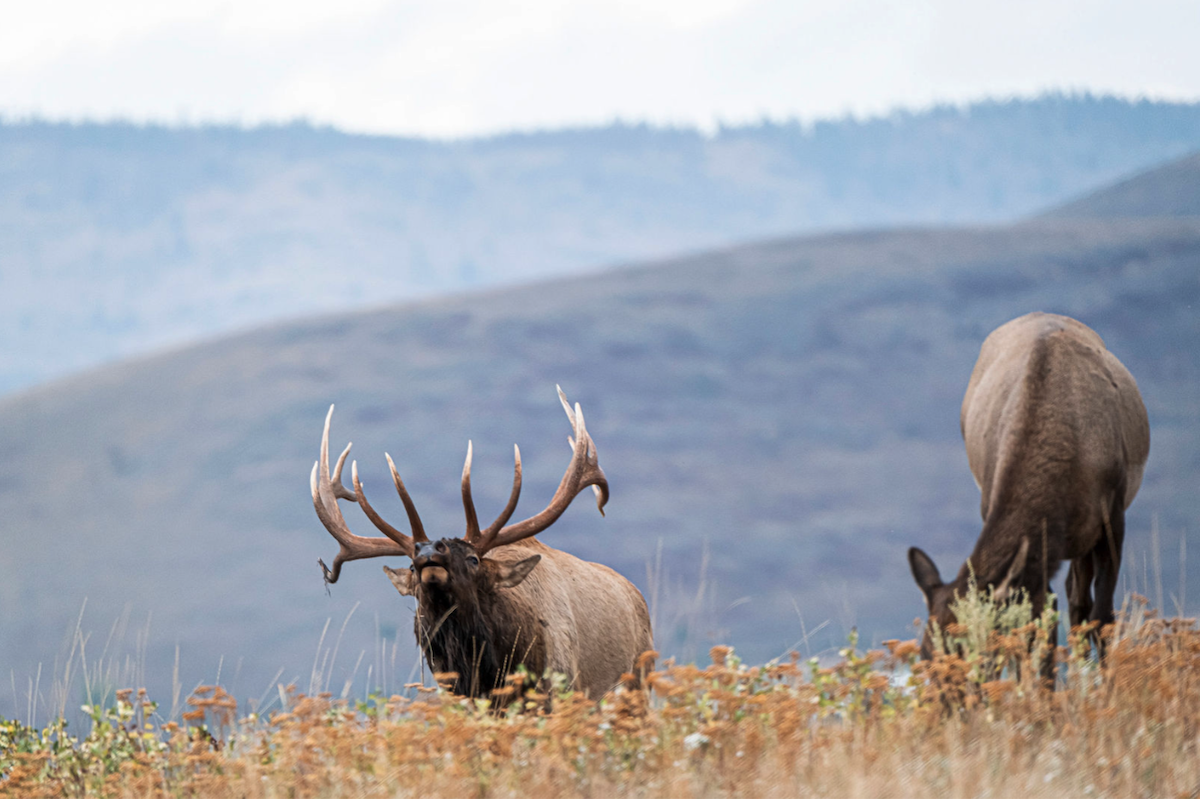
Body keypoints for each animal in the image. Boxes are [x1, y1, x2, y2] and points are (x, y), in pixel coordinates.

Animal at [908, 312, 1150, 664]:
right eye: (925, 655)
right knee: (1071, 596)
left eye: (978, 648)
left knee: (1081, 601)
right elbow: (1038, 620)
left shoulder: (1113, 516)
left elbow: (1103, 617)